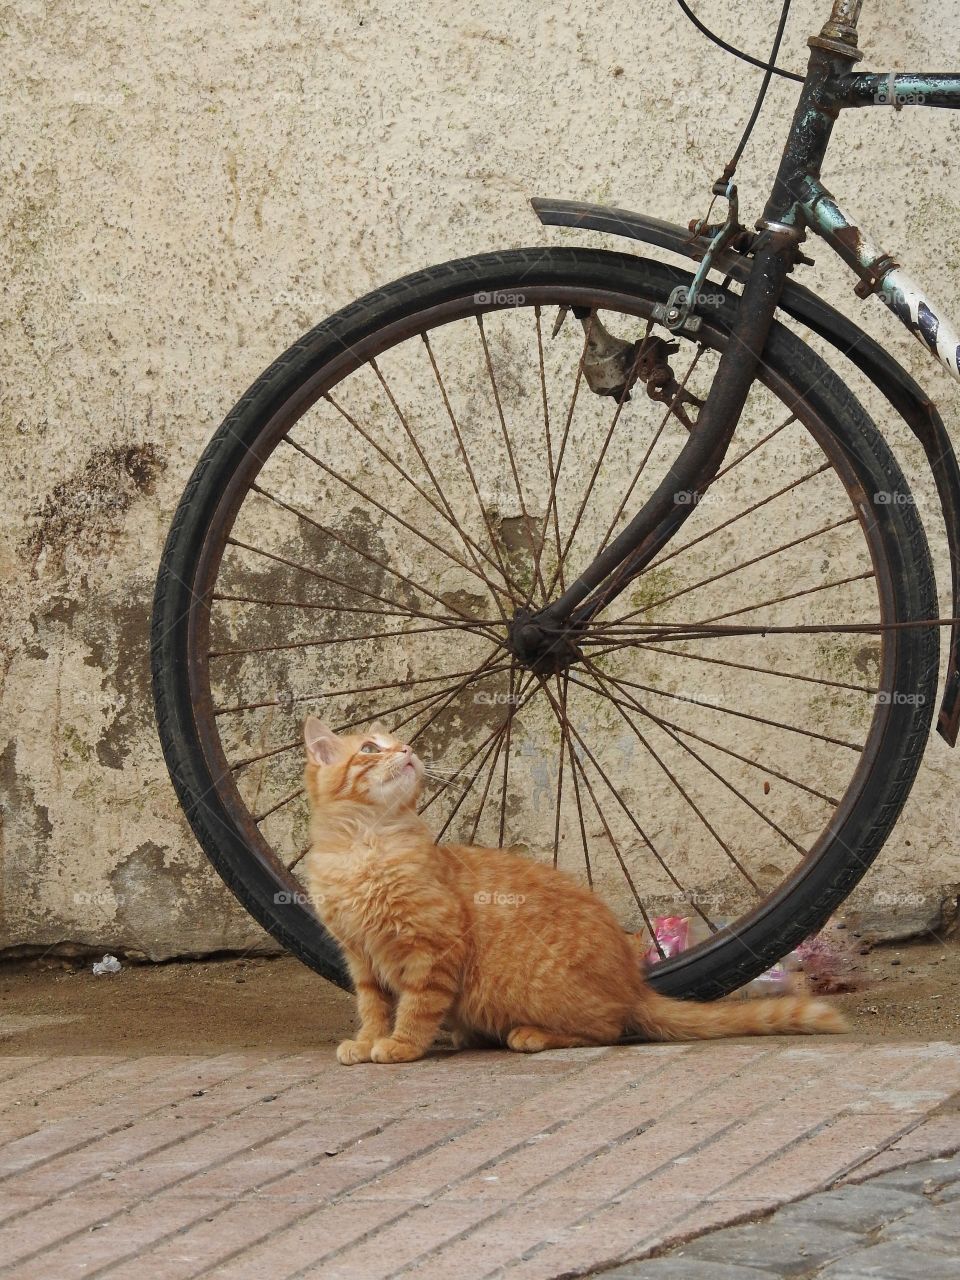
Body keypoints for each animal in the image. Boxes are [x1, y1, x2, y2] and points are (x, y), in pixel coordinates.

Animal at [302, 716, 849, 1064]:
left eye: (397, 742)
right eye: (370, 748)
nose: (409, 751)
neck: (365, 850)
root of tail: (633, 982)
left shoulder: (433, 949)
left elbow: (416, 1007)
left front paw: (401, 1045)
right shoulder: (360, 958)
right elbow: (372, 1006)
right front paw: (369, 1039)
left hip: (536, 988)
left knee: (606, 1030)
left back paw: (529, 1035)